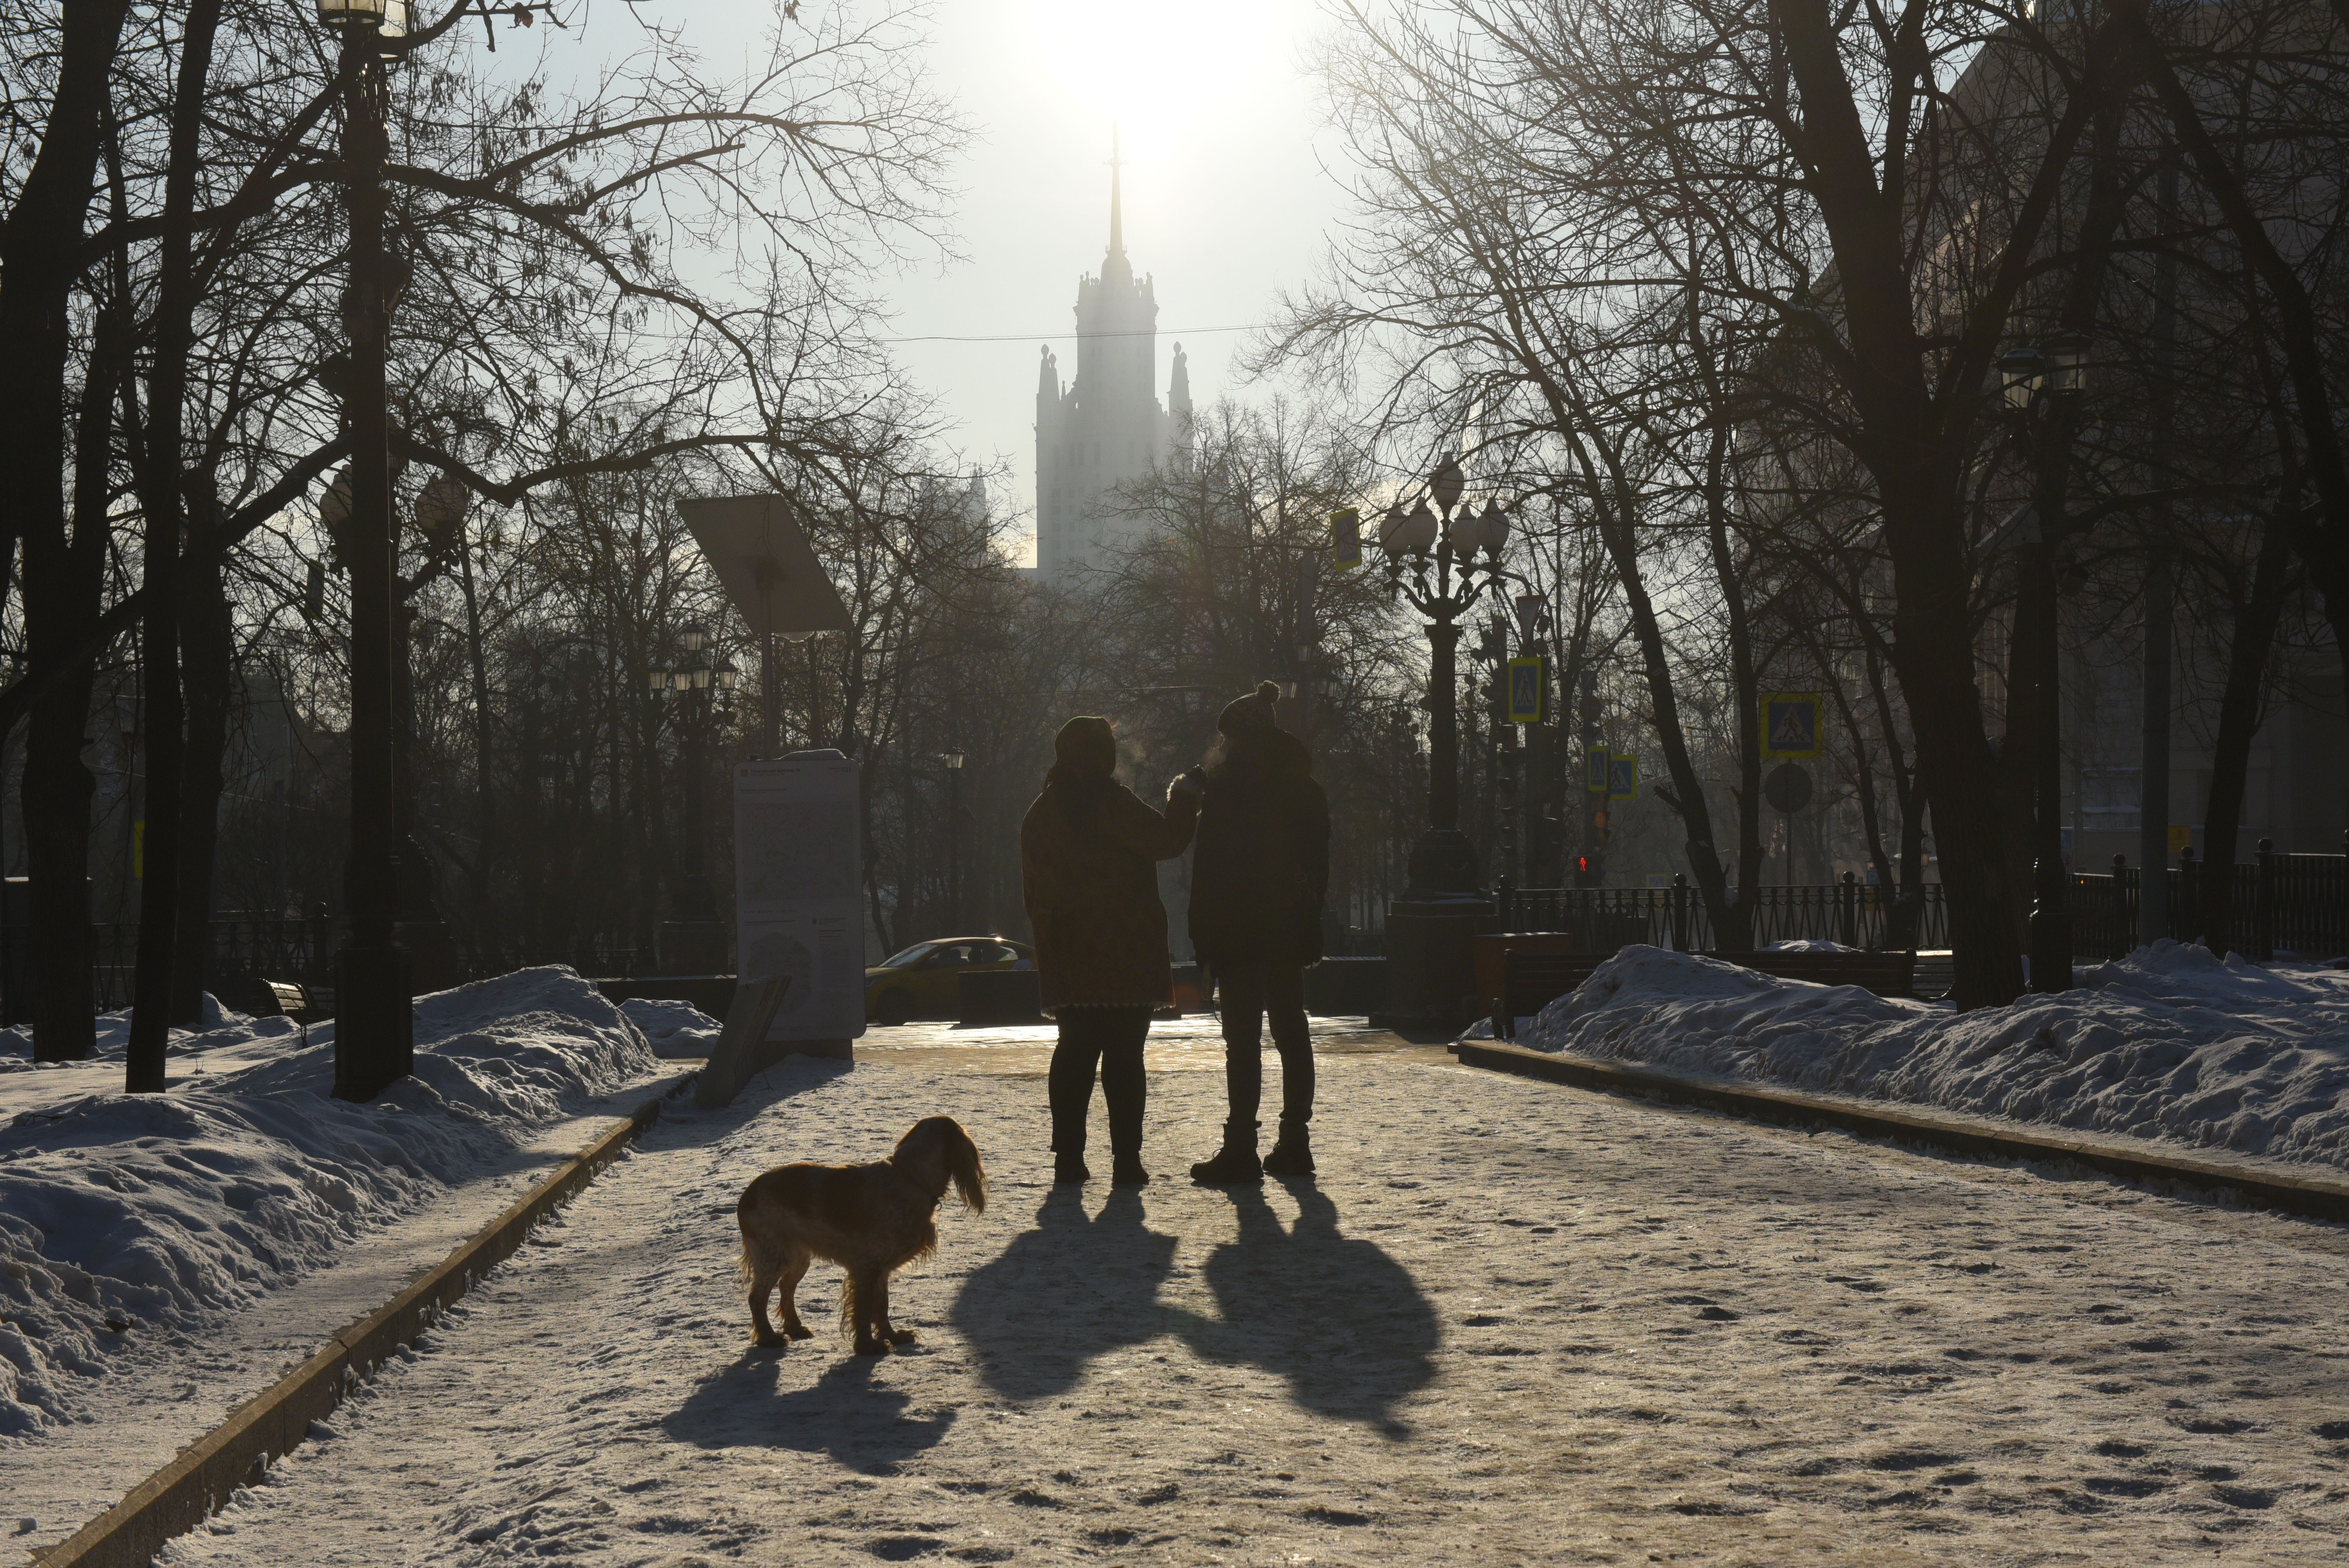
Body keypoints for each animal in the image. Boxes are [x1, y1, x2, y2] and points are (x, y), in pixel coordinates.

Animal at [738, 1112, 986, 1352]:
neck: (911, 1178)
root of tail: (746, 1196)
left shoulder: (882, 1270)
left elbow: (882, 1306)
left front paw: (892, 1336)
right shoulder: (867, 1267)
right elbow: (865, 1310)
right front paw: (868, 1346)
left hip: (799, 1258)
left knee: (786, 1288)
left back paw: (794, 1328)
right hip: (774, 1257)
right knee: (757, 1298)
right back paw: (769, 1338)